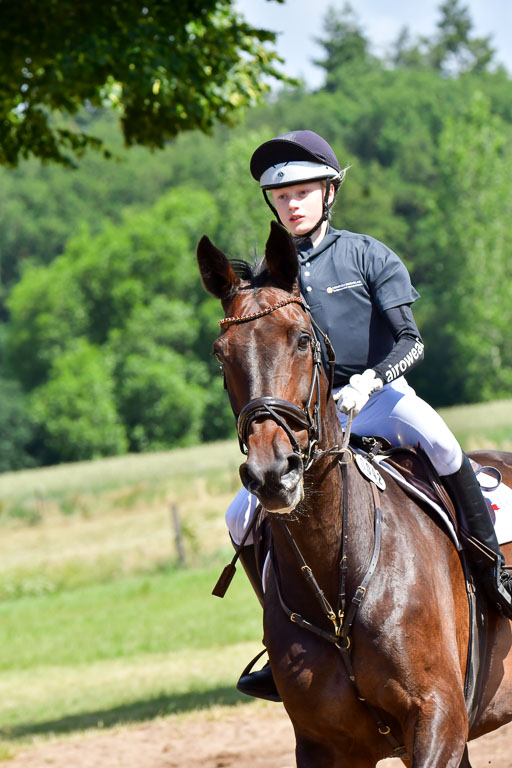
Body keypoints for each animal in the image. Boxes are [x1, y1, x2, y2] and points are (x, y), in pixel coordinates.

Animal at [196, 221, 512, 768]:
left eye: (302, 339)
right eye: (221, 354)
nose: (272, 473)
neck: (338, 590)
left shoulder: (440, 718)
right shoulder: (324, 746)